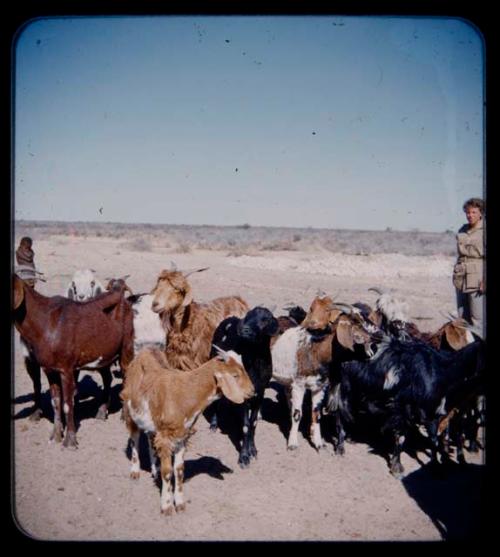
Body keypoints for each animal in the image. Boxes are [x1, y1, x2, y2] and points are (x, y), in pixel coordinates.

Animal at [13, 274, 135, 448]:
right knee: (107, 377)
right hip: (104, 354)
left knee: (126, 377)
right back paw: (101, 412)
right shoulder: (50, 370)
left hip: (126, 347)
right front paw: (55, 436)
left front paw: (70, 441)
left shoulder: (67, 368)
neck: (46, 323)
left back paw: (124, 416)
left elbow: (67, 403)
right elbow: (56, 402)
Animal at [120, 346, 254, 516]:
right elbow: (167, 471)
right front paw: (167, 506)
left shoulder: (181, 436)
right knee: (135, 438)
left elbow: (179, 470)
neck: (186, 394)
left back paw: (154, 469)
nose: (253, 391)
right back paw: (135, 471)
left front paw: (180, 504)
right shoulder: (166, 436)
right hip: (130, 411)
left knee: (150, 438)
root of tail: (146, 350)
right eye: (235, 375)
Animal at [205, 306, 280, 466]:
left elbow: (253, 423)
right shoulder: (245, 393)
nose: (245, 330)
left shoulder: (260, 393)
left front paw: (253, 450)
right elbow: (245, 426)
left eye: (265, 319)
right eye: (248, 316)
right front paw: (244, 457)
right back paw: (214, 424)